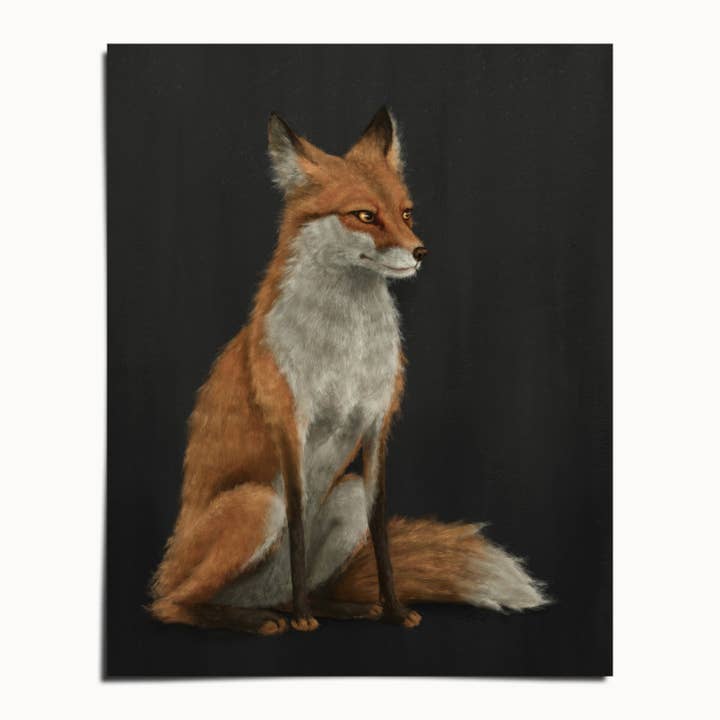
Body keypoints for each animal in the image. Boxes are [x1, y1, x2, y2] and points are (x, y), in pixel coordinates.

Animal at [149, 107, 548, 635]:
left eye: (406, 213)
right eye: (364, 215)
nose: (421, 252)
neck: (347, 348)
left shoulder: (378, 425)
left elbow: (381, 535)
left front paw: (393, 610)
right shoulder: (290, 426)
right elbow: (297, 529)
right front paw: (303, 620)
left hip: (346, 495)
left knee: (291, 588)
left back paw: (337, 607)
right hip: (257, 504)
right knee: (173, 604)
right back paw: (261, 618)